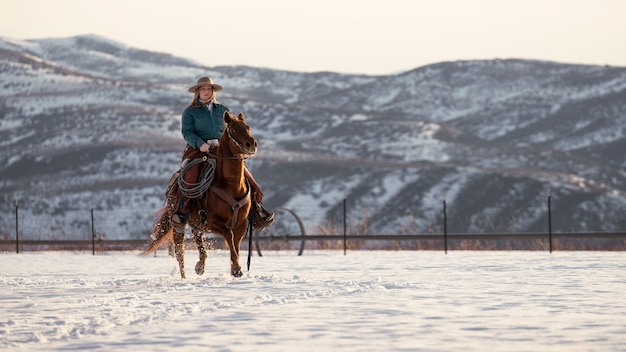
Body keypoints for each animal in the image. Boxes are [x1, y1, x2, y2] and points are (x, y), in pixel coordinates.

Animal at [141, 110, 256, 278]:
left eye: (248, 127)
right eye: (233, 130)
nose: (251, 144)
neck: (231, 186)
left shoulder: (241, 224)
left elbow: (236, 244)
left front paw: (234, 267)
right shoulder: (215, 222)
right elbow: (229, 236)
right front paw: (236, 268)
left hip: (196, 222)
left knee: (198, 240)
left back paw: (200, 265)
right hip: (178, 223)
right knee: (179, 252)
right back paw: (184, 278)